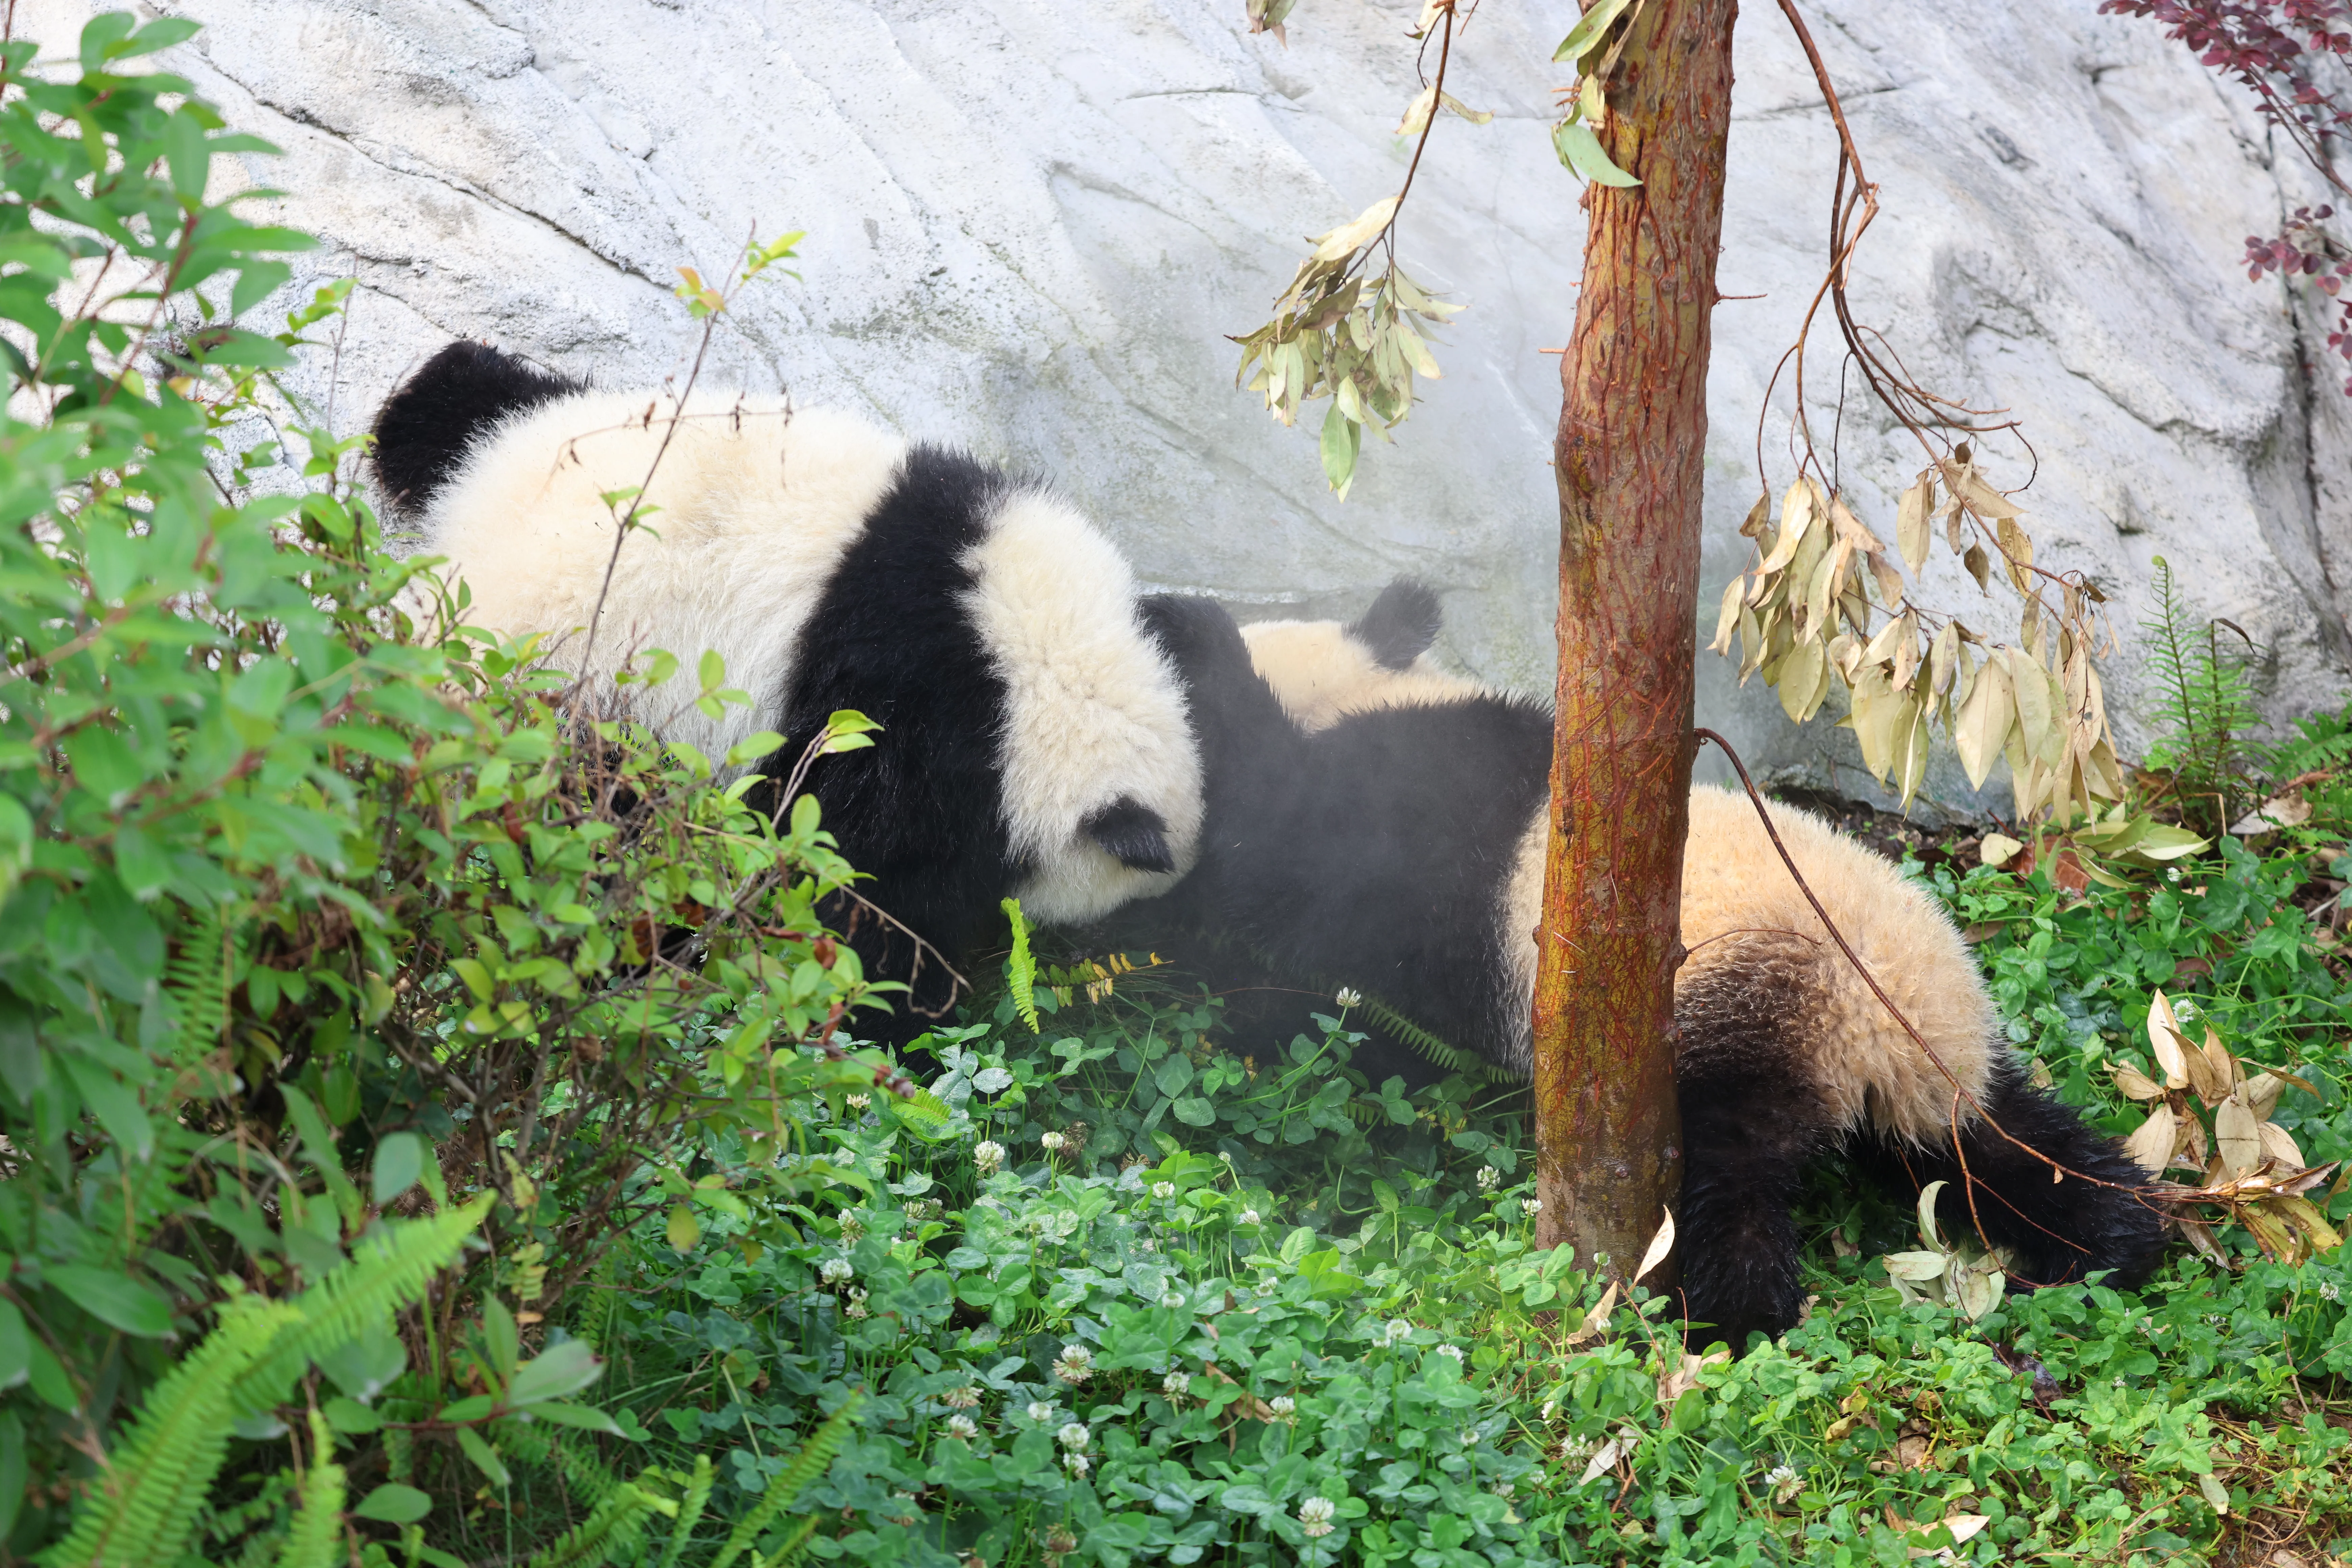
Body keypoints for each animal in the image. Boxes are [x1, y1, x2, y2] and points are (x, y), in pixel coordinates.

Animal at [372, 341, 1203, 1040]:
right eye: (1125, 912)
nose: (1135, 974)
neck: (1042, 668)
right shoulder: (908, 737)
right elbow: (855, 895)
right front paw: (892, 1014)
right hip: (580, 711)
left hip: (567, 426)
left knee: (462, 392)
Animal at [1143, 587, 2165, 1349]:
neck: (1361, 688)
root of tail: (1888, 1037)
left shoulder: (1387, 837)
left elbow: (1278, 864)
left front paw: (1181, 633)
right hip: (1948, 1067)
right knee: (2015, 1148)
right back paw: (2119, 1240)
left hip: (1753, 1014)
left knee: (1728, 1179)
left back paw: (1729, 1317)